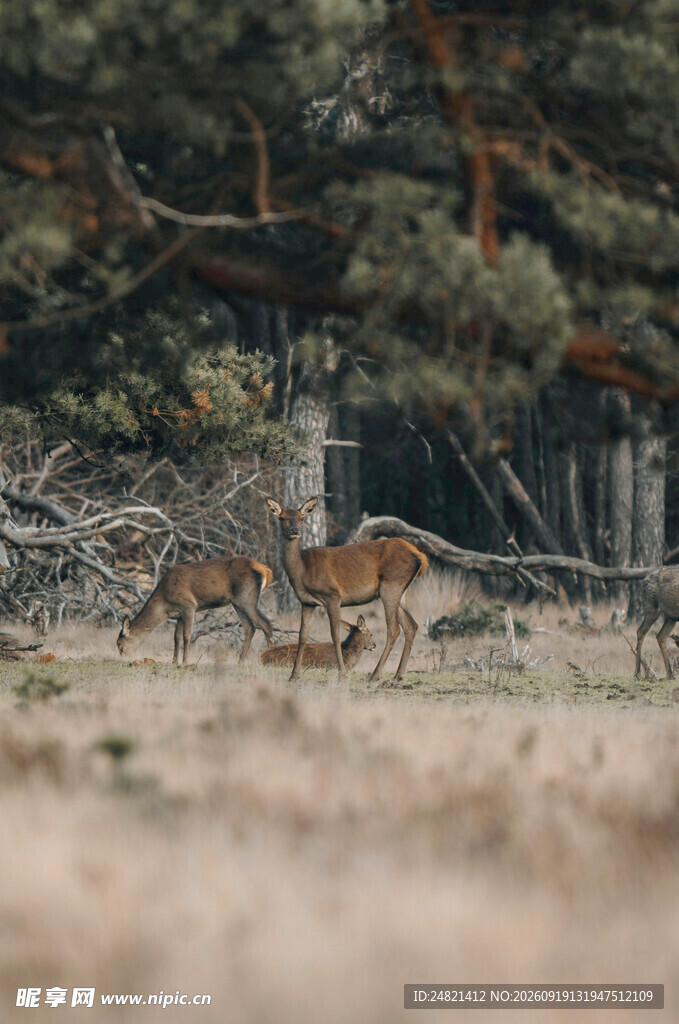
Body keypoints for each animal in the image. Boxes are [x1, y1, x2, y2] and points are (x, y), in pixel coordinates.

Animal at [117, 556, 274, 665]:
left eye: (120, 645)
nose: (124, 658)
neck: (164, 601)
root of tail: (266, 570)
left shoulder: (189, 605)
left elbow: (187, 636)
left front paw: (185, 661)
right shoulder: (179, 614)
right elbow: (176, 637)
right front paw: (174, 661)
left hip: (247, 598)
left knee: (266, 623)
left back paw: (270, 659)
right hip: (237, 603)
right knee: (250, 627)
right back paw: (240, 661)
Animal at [267, 496, 428, 683]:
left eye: (302, 518)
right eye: (282, 518)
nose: (295, 530)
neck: (302, 571)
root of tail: (420, 556)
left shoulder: (332, 596)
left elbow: (335, 635)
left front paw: (341, 674)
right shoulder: (307, 602)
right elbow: (302, 636)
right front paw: (293, 675)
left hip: (391, 586)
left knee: (394, 630)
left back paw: (375, 674)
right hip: (401, 591)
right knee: (412, 626)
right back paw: (398, 675)